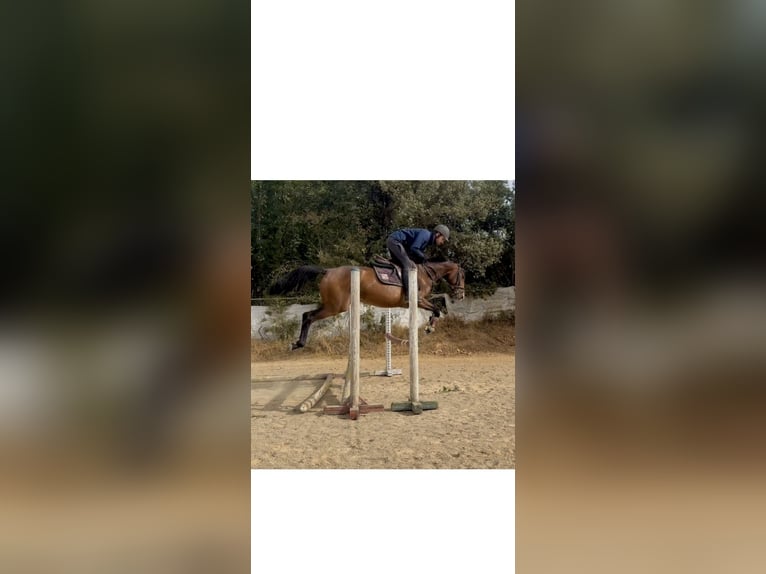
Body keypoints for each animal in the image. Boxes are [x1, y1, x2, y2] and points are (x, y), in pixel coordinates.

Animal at [269, 260, 466, 350]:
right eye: (462, 276)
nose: (461, 295)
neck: (424, 275)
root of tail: (327, 271)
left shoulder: (419, 301)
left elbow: (437, 305)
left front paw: (431, 324)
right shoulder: (417, 301)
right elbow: (436, 309)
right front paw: (430, 327)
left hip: (332, 305)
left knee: (305, 315)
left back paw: (298, 343)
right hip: (335, 306)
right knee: (308, 316)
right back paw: (299, 344)